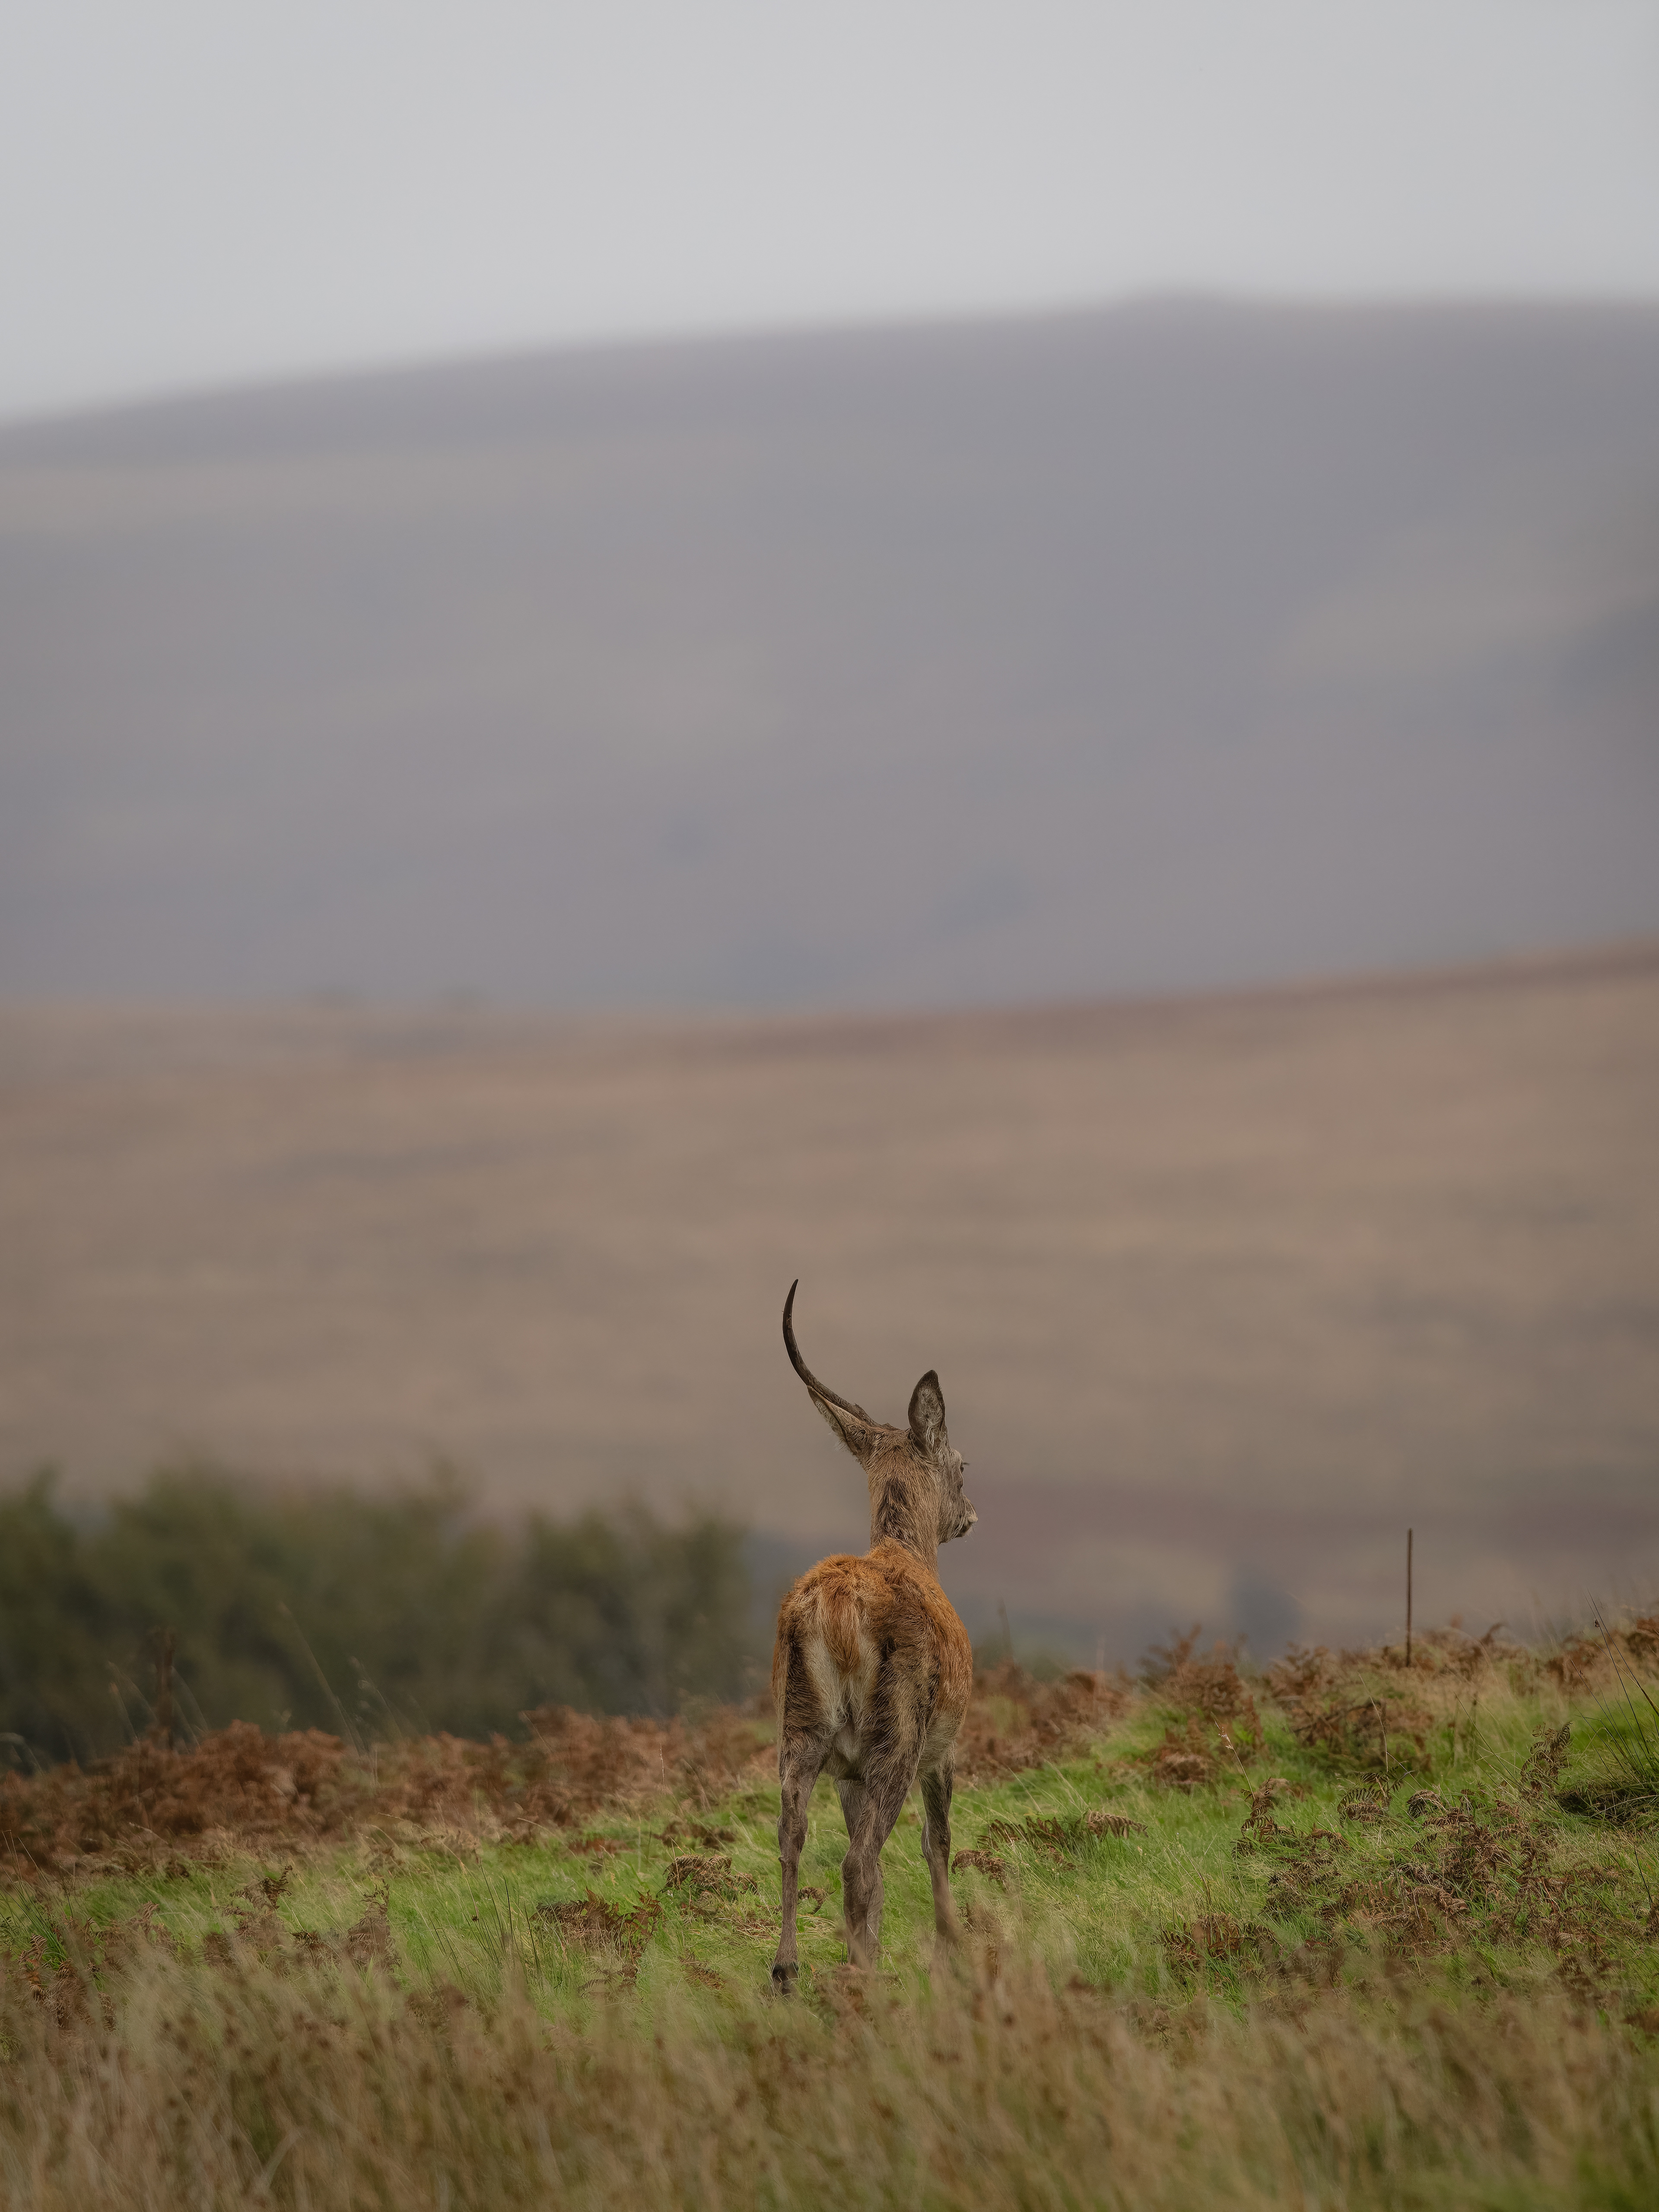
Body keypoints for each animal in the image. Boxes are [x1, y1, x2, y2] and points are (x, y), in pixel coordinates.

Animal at [769, 1280, 978, 1993]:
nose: (971, 1515)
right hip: (899, 1729)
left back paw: (788, 1968)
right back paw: (860, 1976)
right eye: (963, 1463)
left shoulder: (848, 1771)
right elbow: (938, 1842)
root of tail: (835, 1611)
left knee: (794, 1840)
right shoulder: (944, 1744)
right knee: (859, 1860)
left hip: (800, 1731)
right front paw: (950, 1949)